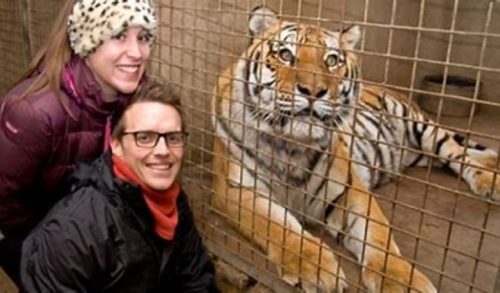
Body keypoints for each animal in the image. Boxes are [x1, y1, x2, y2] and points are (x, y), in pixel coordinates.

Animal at [211, 5, 500, 290]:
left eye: (331, 60)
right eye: (285, 55)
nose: (313, 91)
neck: (291, 146)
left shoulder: (350, 190)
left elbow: (379, 237)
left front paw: (402, 281)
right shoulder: (237, 190)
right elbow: (277, 227)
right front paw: (316, 270)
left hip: (424, 129)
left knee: (458, 154)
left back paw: (490, 181)